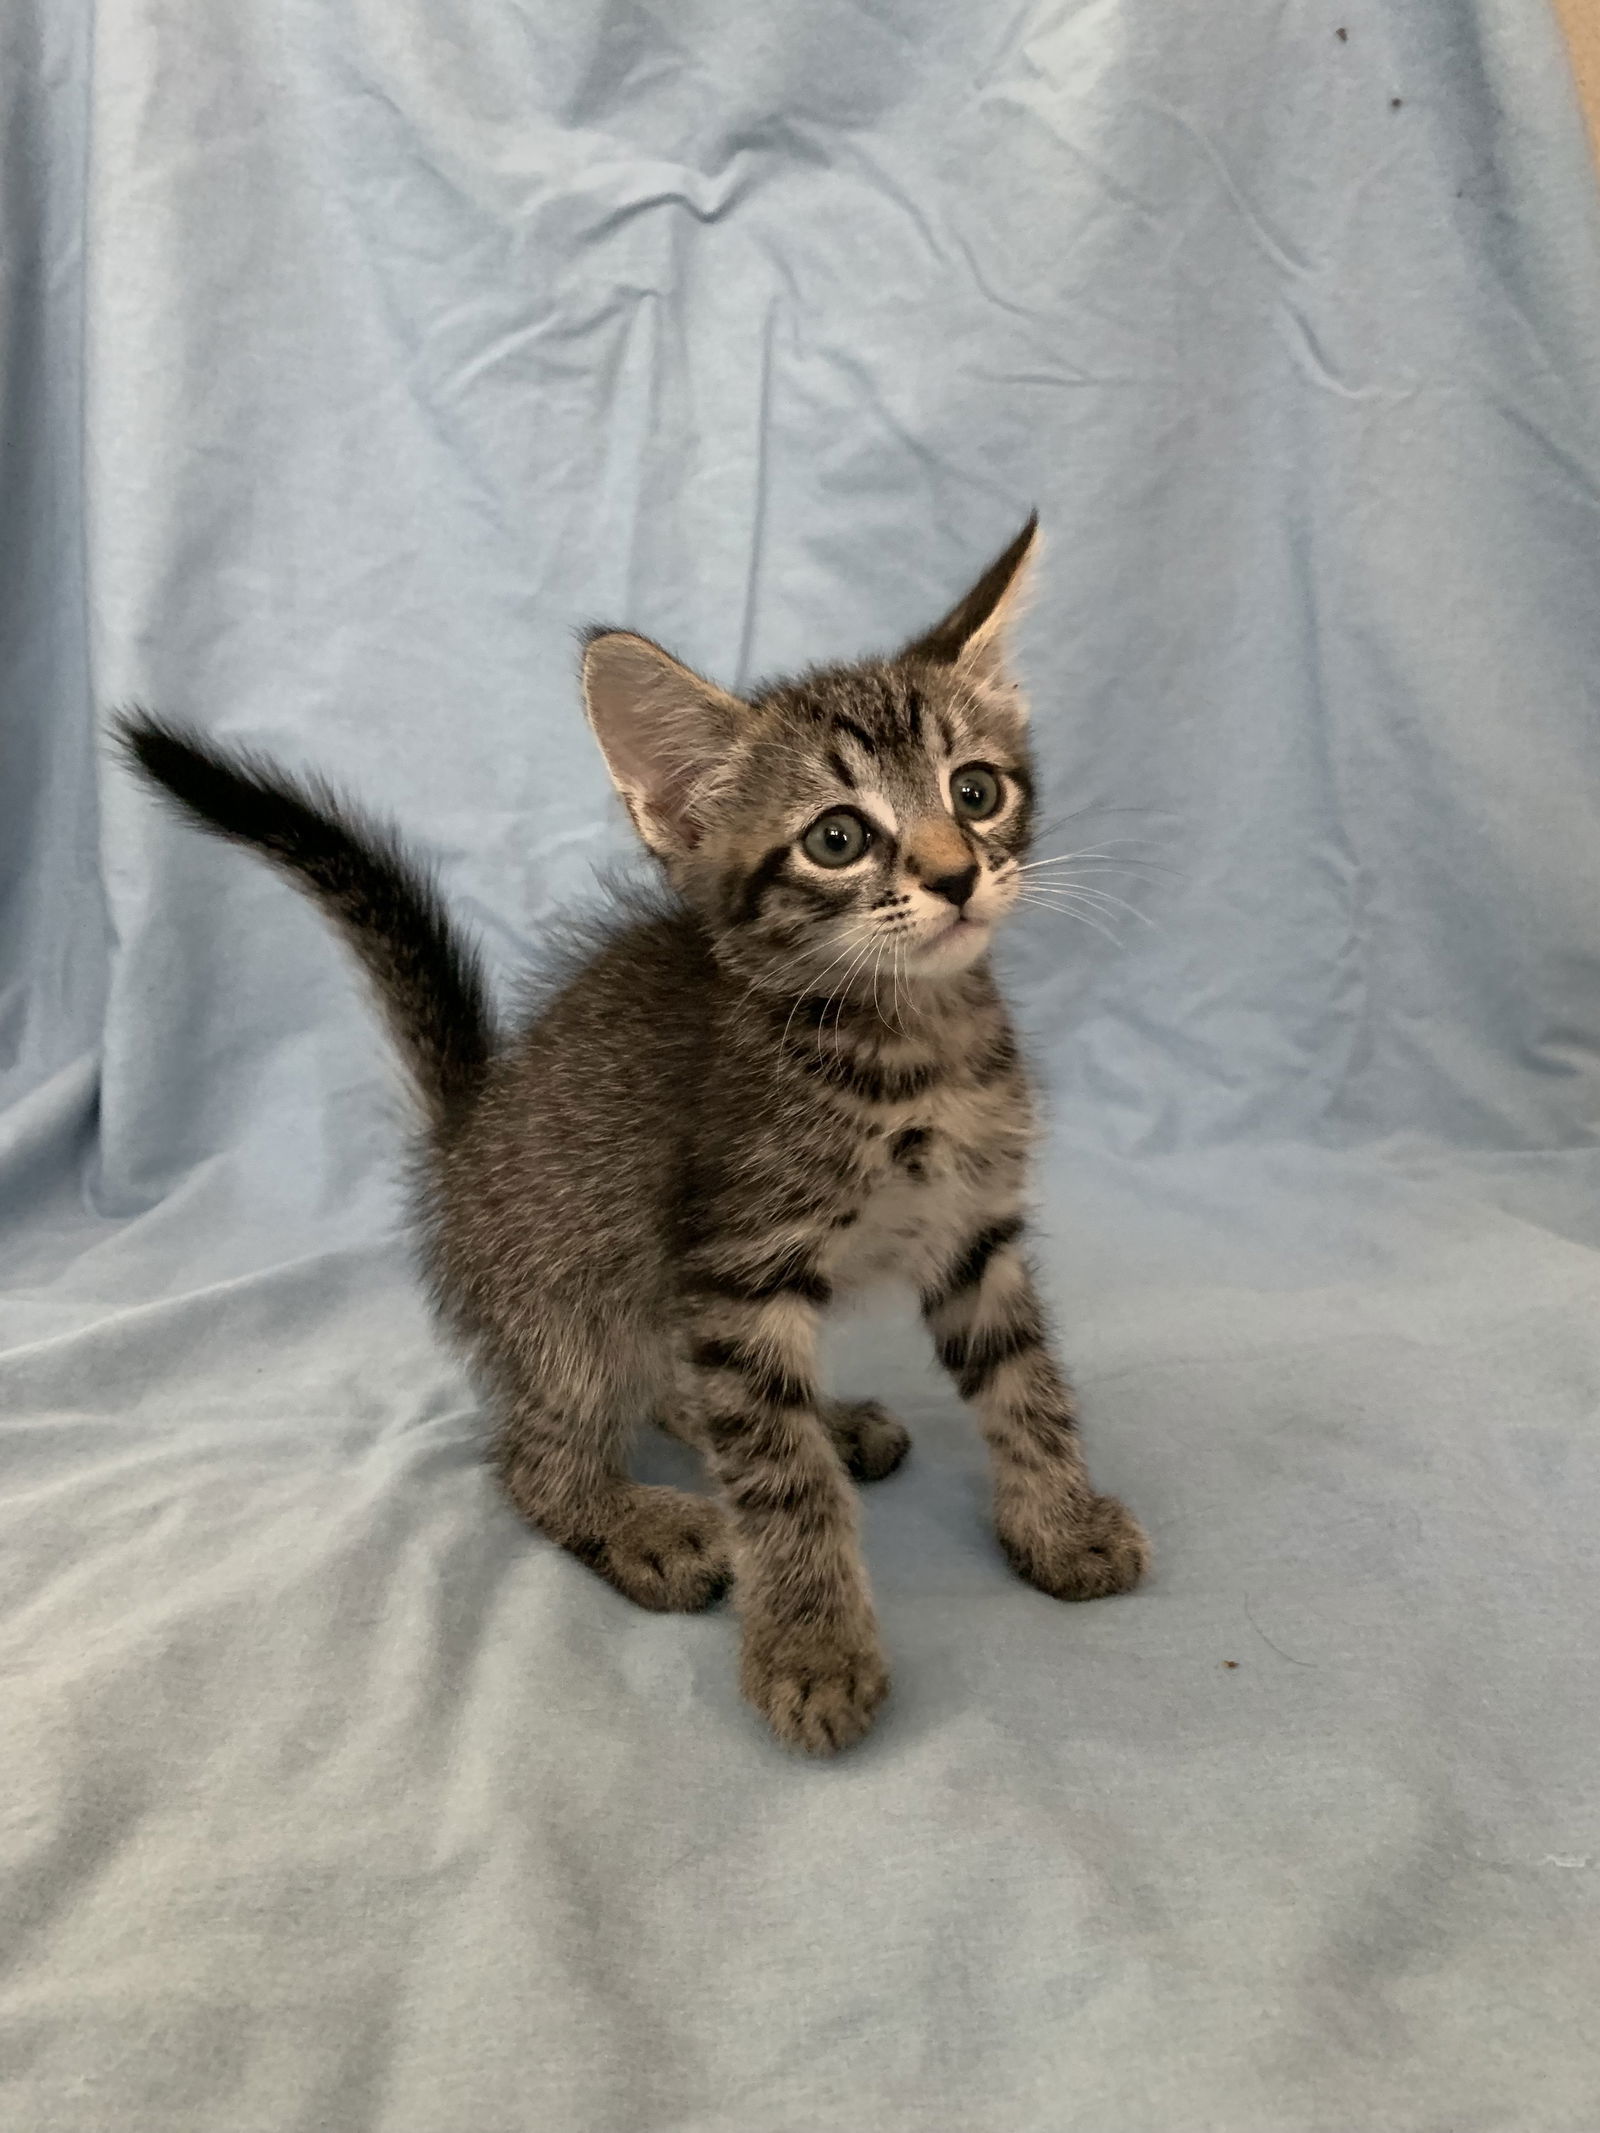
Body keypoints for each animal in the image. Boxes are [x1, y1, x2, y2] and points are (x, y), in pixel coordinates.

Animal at [125, 516, 1152, 1749]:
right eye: (838, 838)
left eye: (976, 789)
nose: (957, 875)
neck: (911, 1047)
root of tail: (467, 1130)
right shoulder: (739, 1268)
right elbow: (781, 1479)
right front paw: (813, 1647)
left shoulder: (972, 1235)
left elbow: (1024, 1383)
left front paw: (1057, 1522)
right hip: (573, 1296)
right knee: (534, 1454)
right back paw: (635, 1519)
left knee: (685, 1387)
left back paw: (823, 1424)